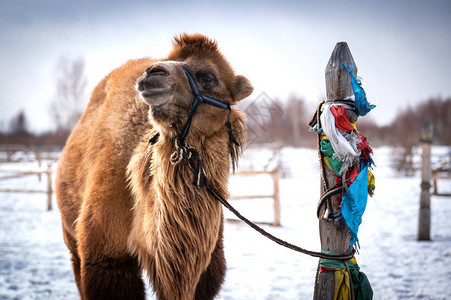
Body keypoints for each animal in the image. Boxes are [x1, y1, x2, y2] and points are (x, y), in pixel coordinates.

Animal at [54, 33, 252, 300]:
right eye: (169, 59)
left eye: (207, 77)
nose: (152, 73)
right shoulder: (107, 260)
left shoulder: (207, 271)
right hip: (72, 238)